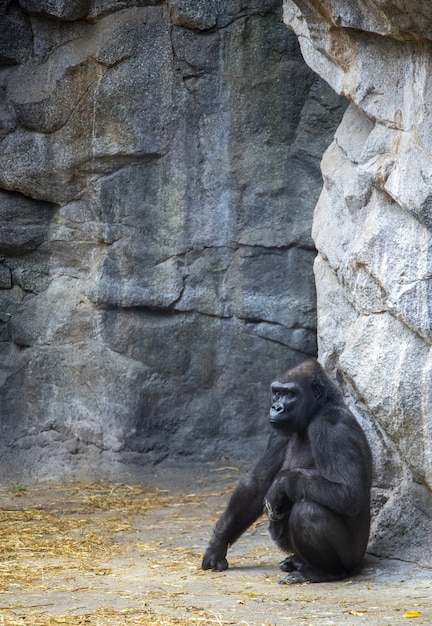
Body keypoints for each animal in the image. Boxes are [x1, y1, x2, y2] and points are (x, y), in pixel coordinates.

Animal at [201, 358, 372, 584]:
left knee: (308, 511)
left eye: (290, 394)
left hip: (353, 557)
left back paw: (323, 572)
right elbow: (257, 485)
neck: (316, 410)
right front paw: (217, 545)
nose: (276, 407)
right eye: (276, 392)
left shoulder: (333, 424)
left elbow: (349, 492)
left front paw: (282, 483)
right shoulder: (278, 433)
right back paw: (297, 561)